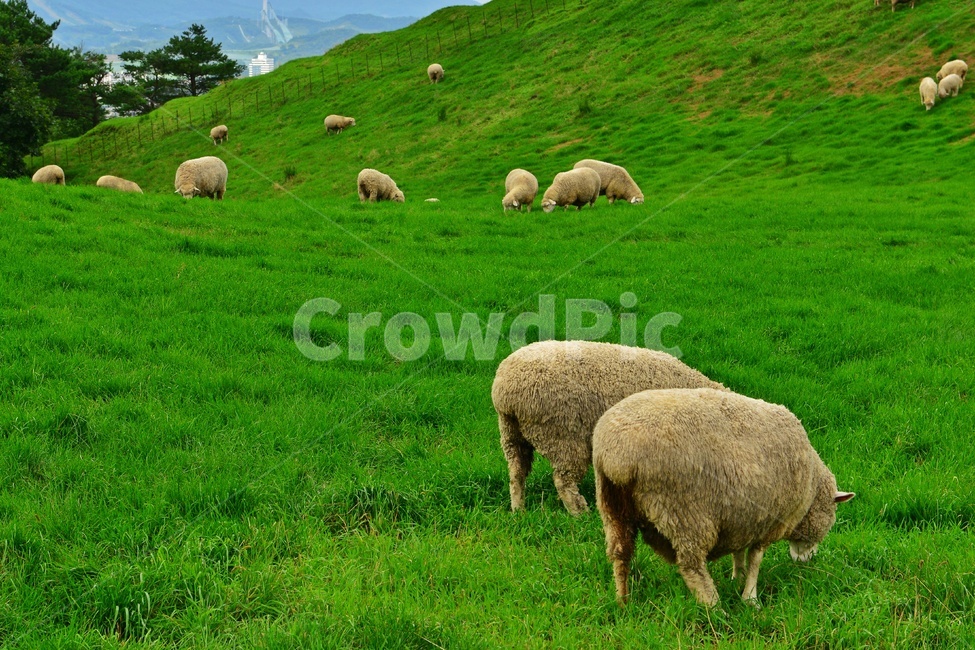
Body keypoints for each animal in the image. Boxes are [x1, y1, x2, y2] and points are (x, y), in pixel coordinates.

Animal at [491, 340, 727, 515]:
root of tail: (504, 391)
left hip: (512, 434)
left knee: (516, 473)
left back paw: (518, 510)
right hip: (562, 435)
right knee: (563, 480)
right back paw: (580, 513)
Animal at [594, 388, 855, 607]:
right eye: (830, 516)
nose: (806, 561)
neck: (811, 486)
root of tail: (617, 456)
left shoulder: (743, 518)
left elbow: (738, 553)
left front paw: (736, 578)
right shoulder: (768, 522)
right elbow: (755, 560)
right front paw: (750, 598)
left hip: (612, 504)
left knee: (620, 553)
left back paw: (623, 601)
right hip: (685, 512)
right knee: (691, 565)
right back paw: (714, 607)